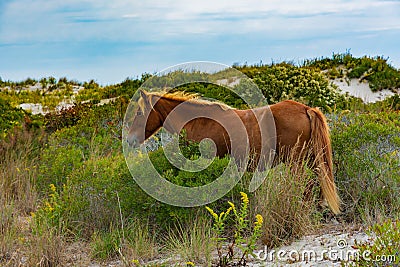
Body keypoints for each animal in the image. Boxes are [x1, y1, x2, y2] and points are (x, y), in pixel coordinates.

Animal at [126, 91, 340, 215]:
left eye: (139, 113)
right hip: (310, 159)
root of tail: (306, 109)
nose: (129, 140)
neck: (198, 121)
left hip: (296, 162)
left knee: (307, 184)